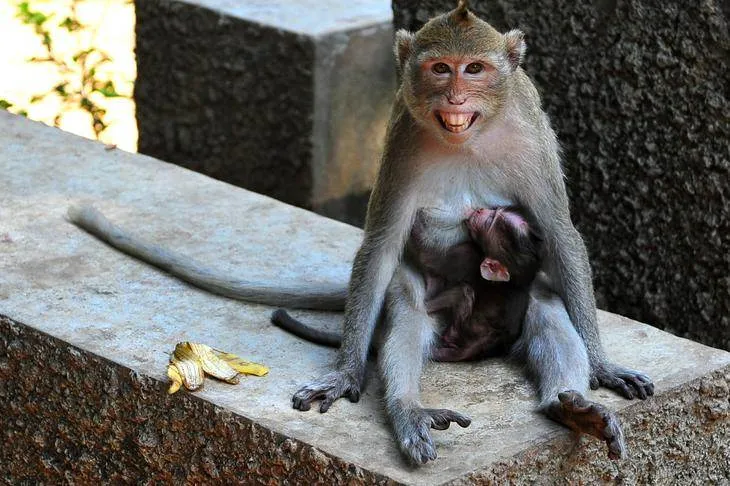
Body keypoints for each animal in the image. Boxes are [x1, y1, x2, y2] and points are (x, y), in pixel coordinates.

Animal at [66, 0, 654, 465]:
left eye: (475, 69)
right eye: (440, 69)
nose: (455, 98)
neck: (468, 137)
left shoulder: (532, 139)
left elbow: (559, 233)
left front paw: (602, 366)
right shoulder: (402, 141)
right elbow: (381, 245)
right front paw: (347, 372)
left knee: (548, 303)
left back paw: (569, 407)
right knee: (407, 307)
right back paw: (409, 411)